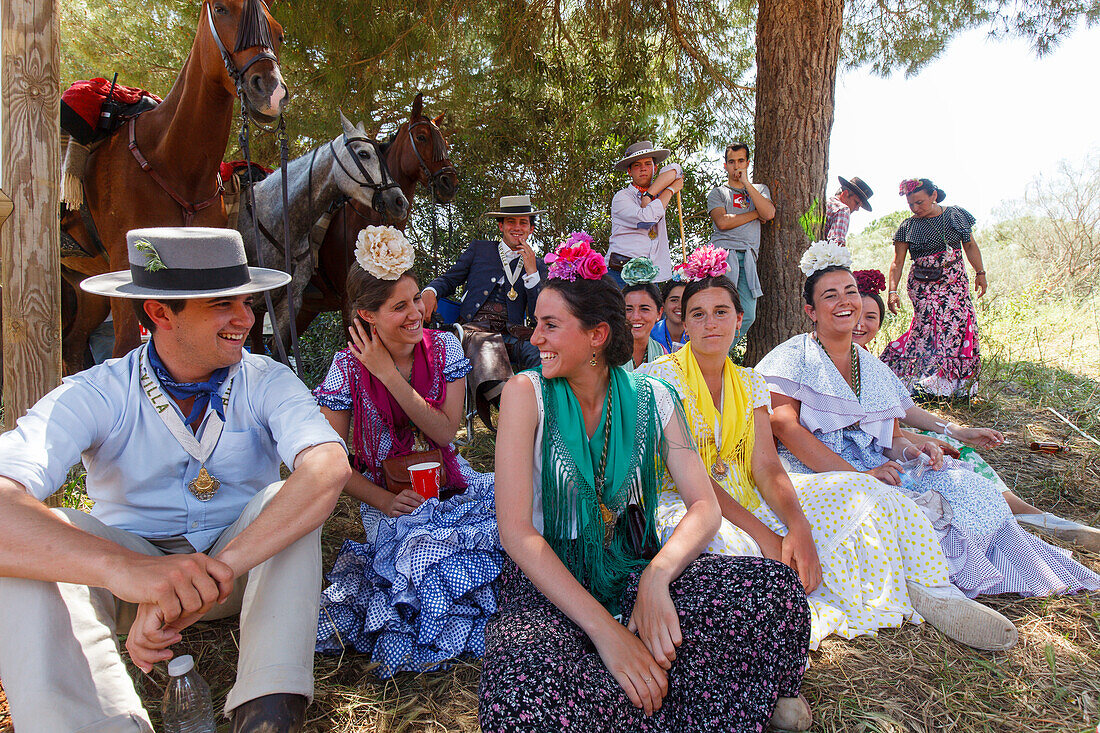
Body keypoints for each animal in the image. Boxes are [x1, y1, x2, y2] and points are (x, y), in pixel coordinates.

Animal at [59, 0, 288, 372]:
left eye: (278, 32)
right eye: (221, 9)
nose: (270, 91)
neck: (172, 159)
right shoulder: (122, 264)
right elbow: (126, 347)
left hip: (83, 290)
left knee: (73, 345)